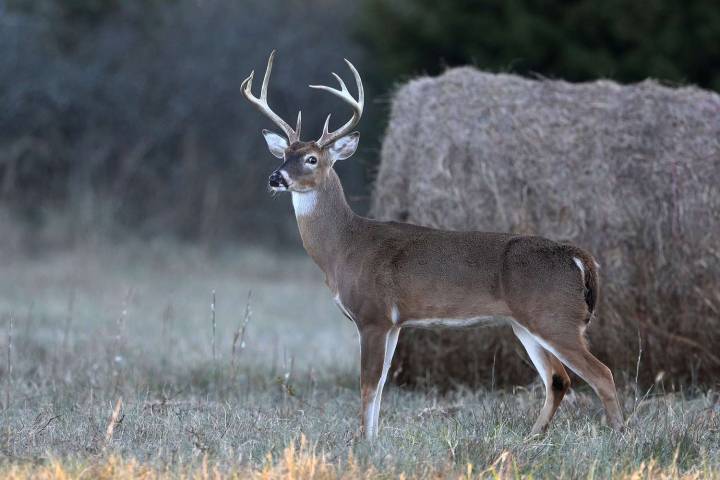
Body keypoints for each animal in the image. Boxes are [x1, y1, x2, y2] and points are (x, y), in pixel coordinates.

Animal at [240, 51, 624, 440]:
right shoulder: (395, 323)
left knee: (602, 374)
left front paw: (362, 441)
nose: (276, 177)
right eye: (284, 154)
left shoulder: (374, 314)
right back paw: (533, 437)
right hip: (526, 323)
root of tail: (578, 256)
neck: (344, 247)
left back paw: (620, 436)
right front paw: (373, 439)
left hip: (555, 317)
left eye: (312, 159)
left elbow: (368, 384)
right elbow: (380, 385)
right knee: (558, 379)